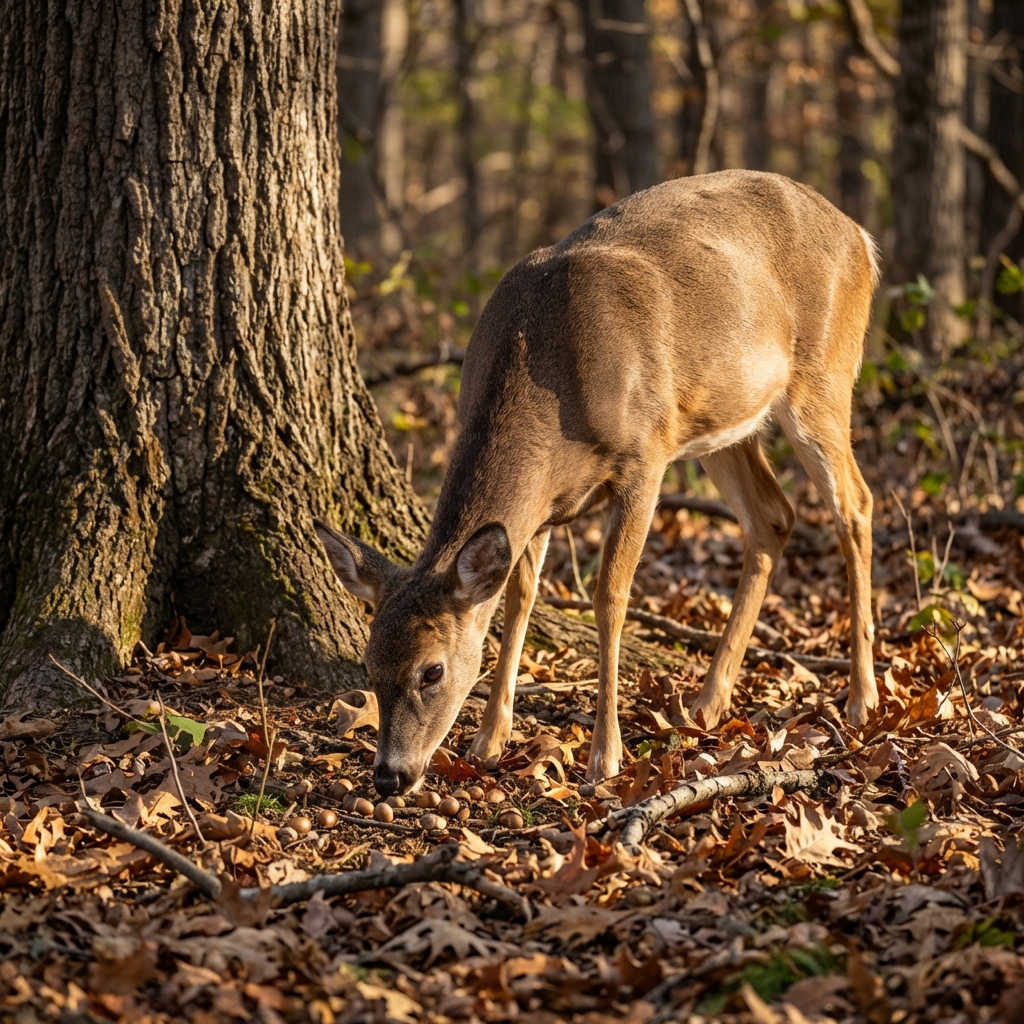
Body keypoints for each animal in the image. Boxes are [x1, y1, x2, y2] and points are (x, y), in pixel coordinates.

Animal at [316, 169, 881, 798]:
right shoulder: (542, 506)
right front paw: (488, 741)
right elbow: (520, 595)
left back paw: (862, 699)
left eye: (431, 670)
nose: (391, 775)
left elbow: (610, 595)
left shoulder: (646, 456)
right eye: (369, 664)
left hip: (823, 378)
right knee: (773, 517)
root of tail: (861, 238)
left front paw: (604, 757)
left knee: (856, 504)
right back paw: (707, 704)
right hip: (721, 421)